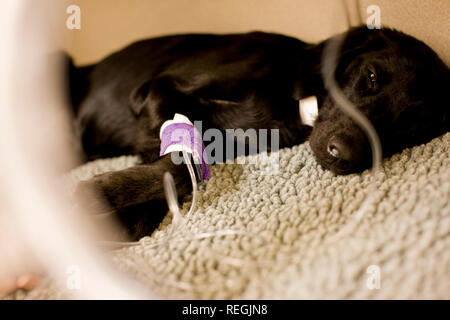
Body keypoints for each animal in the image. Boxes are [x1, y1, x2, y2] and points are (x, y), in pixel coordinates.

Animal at [67, 26, 450, 239]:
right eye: (370, 77)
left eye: (410, 126)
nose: (345, 155)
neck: (291, 97)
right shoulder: (157, 89)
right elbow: (179, 168)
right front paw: (96, 194)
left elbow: (175, 176)